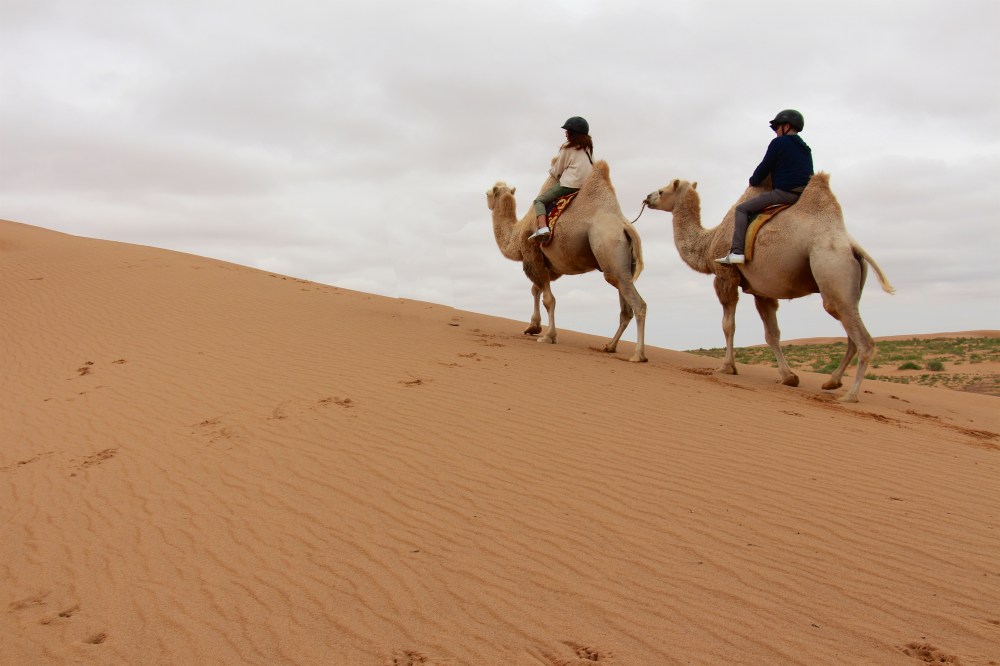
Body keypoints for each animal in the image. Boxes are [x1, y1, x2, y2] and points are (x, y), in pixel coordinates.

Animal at [487, 160, 647, 362]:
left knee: (638, 305)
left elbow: (548, 299)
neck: (517, 233)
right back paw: (609, 346)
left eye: (488, 193)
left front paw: (549, 336)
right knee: (626, 308)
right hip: (621, 267)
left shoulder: (531, 254)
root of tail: (626, 228)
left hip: (609, 248)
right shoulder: (551, 266)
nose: (487, 201)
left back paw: (638, 355)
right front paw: (533, 327)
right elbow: (535, 290)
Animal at [644, 174, 894, 402]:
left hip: (831, 268)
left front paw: (727, 367)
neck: (708, 243)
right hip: (848, 289)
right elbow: (772, 334)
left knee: (862, 339)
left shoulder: (725, 277)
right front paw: (788, 377)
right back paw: (831, 382)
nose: (647, 197)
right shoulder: (761, 290)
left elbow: (728, 325)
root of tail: (851, 246)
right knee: (851, 330)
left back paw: (850, 395)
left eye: (663, 190)